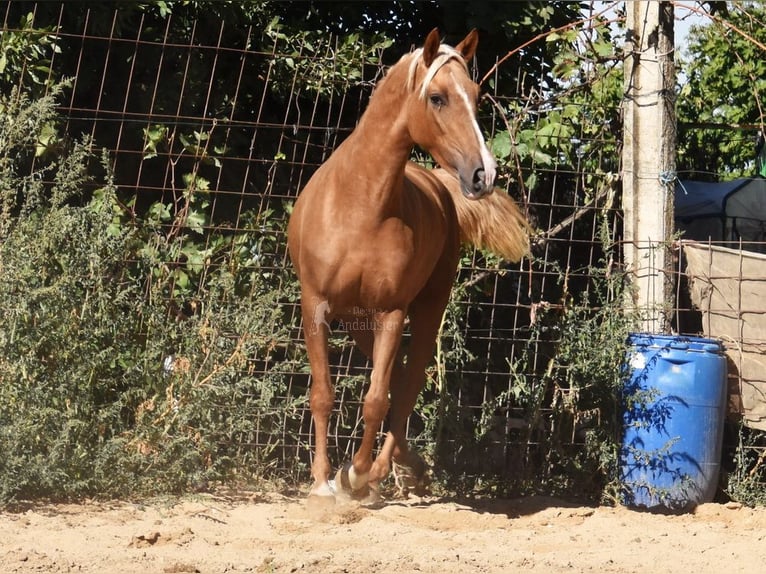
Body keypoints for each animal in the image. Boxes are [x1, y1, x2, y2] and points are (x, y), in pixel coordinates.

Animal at [284, 28, 532, 504]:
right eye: (437, 97)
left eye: (476, 96)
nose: (483, 175)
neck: (358, 205)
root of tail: (439, 183)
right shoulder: (316, 304)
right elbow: (323, 393)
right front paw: (322, 481)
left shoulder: (392, 312)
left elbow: (376, 398)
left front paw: (356, 474)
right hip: (356, 320)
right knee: (400, 382)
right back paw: (405, 466)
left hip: (426, 309)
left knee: (408, 382)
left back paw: (385, 470)